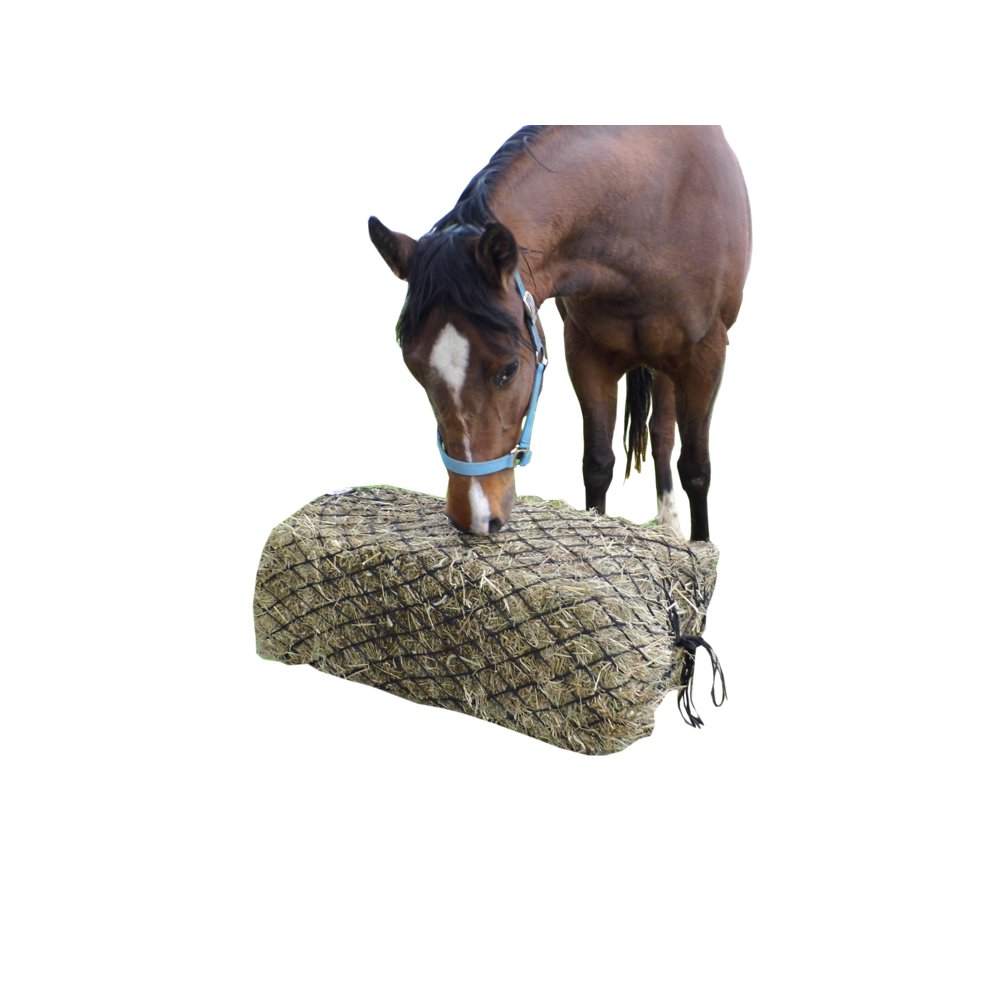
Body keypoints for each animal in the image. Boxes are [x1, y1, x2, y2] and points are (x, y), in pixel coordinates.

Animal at [369, 125, 751, 541]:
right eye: (416, 370)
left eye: (509, 370)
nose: (475, 516)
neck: (648, 215)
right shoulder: (586, 354)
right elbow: (597, 464)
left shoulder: (705, 359)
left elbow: (696, 470)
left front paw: (700, 544)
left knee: (664, 436)